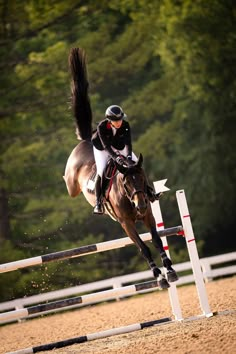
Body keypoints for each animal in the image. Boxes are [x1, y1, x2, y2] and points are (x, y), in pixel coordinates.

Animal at [63, 47, 178, 290]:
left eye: (143, 178)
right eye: (125, 182)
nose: (141, 204)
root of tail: (87, 139)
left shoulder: (148, 216)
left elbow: (156, 240)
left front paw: (171, 271)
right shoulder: (126, 223)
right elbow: (143, 247)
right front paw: (160, 277)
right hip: (73, 182)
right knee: (71, 185)